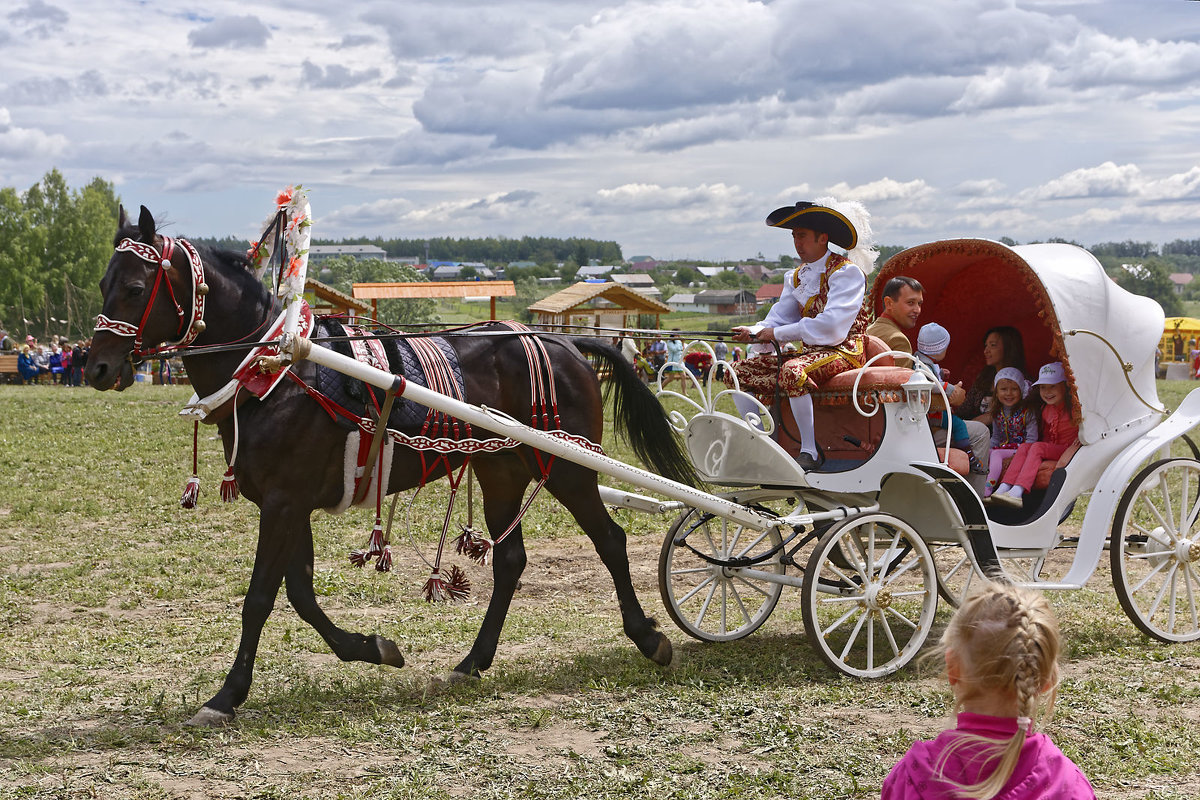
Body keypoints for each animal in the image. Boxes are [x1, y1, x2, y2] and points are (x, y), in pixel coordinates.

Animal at [88, 206, 696, 724]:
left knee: (610, 540)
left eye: (136, 288)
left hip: (568, 468)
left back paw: (648, 637)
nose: (96, 367)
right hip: (501, 472)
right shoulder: (290, 504)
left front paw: (227, 695)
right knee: (511, 562)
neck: (281, 370)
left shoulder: (284, 503)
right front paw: (372, 648)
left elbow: (260, 598)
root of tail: (563, 343)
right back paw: (473, 661)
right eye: (102, 284)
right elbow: (301, 593)